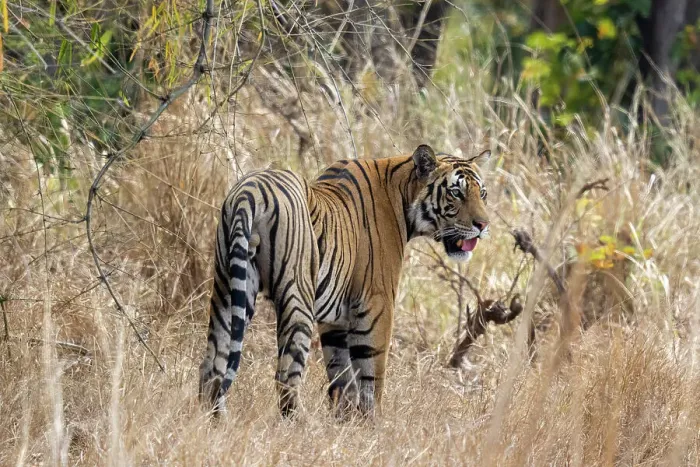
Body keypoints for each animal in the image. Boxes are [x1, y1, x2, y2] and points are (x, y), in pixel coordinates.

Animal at [198, 144, 491, 416]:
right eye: (456, 192)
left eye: (482, 193)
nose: (483, 225)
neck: (403, 193)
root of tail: (248, 193)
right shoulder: (377, 304)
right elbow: (372, 374)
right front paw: (372, 423)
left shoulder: (335, 318)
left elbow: (341, 374)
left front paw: (344, 420)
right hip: (297, 298)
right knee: (286, 376)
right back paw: (301, 425)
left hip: (227, 289)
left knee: (213, 366)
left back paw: (213, 420)